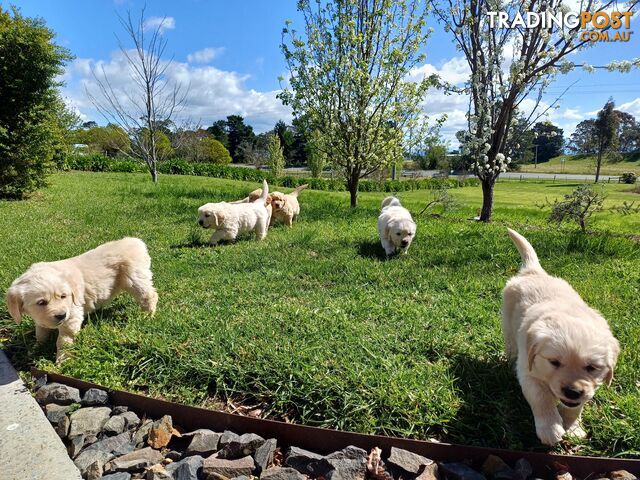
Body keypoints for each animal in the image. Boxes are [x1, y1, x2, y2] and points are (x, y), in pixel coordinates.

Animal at [7, 238, 159, 362]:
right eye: (41, 303)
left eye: (63, 296)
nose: (61, 315)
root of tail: (136, 241)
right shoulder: (43, 319)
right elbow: (40, 332)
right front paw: (36, 348)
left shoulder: (72, 315)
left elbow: (63, 341)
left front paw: (63, 360)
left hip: (134, 279)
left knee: (149, 295)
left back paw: (147, 316)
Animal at [502, 229, 616, 446]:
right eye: (554, 362)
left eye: (592, 367)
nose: (572, 391)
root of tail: (534, 272)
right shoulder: (527, 370)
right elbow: (541, 397)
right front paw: (550, 428)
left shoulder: (587, 388)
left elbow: (576, 407)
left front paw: (573, 428)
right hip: (507, 321)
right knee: (510, 343)